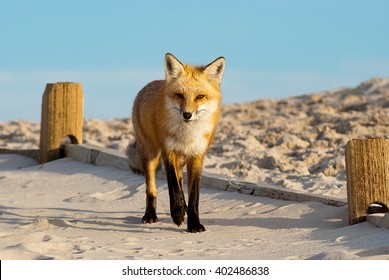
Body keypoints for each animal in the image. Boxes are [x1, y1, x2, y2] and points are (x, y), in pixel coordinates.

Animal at [127, 52, 224, 232]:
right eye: (179, 95)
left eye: (200, 97)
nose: (187, 115)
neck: (187, 135)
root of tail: (151, 83)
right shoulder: (168, 152)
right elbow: (173, 186)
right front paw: (177, 214)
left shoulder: (197, 156)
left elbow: (193, 195)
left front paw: (194, 223)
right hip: (150, 154)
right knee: (151, 189)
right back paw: (150, 215)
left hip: (180, 159)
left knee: (180, 181)